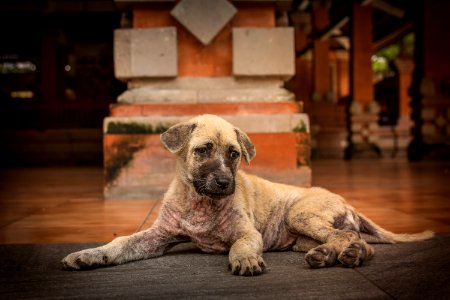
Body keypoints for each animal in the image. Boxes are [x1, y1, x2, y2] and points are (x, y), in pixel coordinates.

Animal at [61, 115, 434, 276]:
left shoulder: (247, 232)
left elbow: (240, 245)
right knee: (348, 240)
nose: (225, 183)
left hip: (300, 214)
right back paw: (330, 256)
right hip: (300, 237)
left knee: (353, 239)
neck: (200, 203)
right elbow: (121, 242)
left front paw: (244, 260)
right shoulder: (158, 236)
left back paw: (347, 256)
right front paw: (90, 255)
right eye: (203, 150)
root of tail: (346, 201)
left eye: (234, 154)